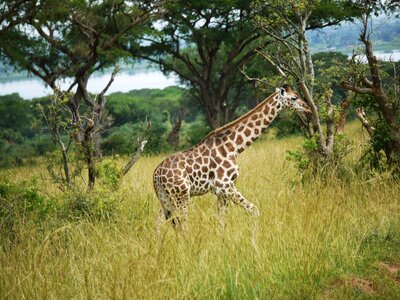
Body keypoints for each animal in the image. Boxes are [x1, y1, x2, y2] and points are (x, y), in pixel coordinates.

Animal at [154, 84, 312, 227]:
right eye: (294, 97)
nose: (308, 108)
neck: (234, 147)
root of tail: (156, 175)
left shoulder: (220, 191)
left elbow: (222, 221)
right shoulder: (225, 185)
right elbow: (254, 210)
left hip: (166, 199)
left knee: (160, 220)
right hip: (181, 196)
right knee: (183, 224)